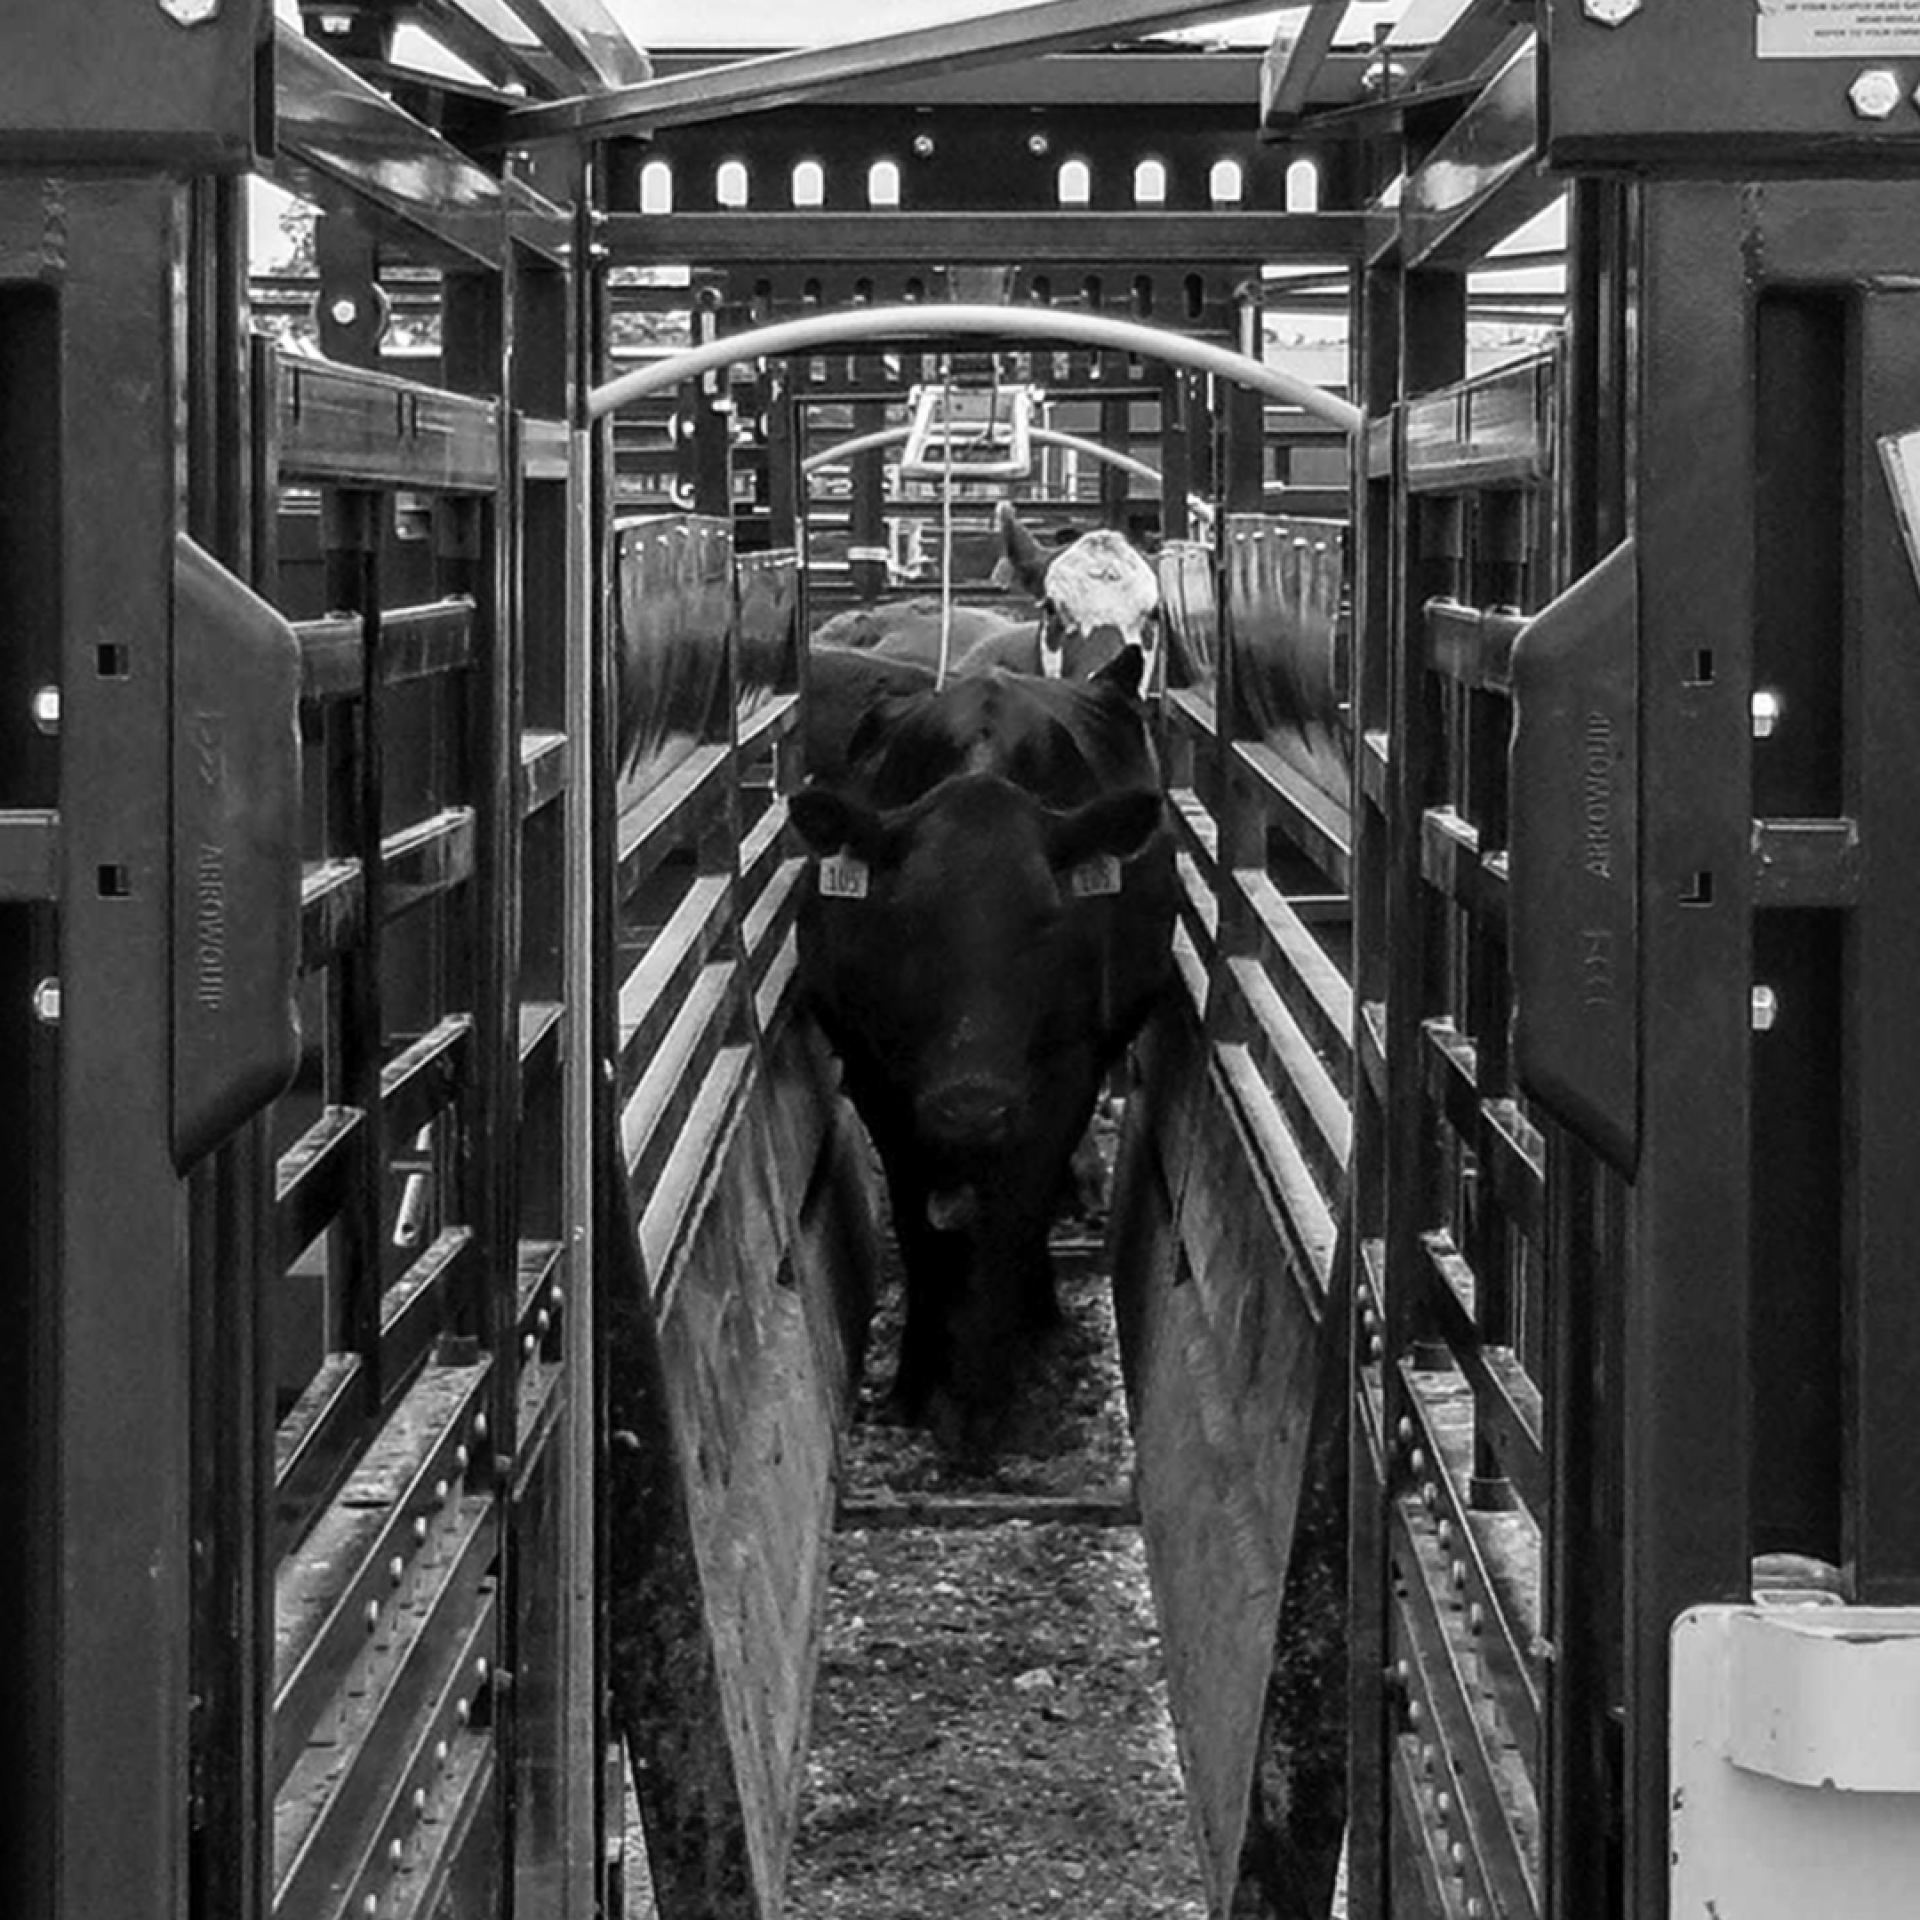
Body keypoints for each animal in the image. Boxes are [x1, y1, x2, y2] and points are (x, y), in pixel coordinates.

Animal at [791, 660, 1175, 1443]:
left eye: (1049, 919)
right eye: (902, 917)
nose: (972, 1107)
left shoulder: (1068, 1070)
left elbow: (1017, 1216)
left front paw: (1001, 1387)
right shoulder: (875, 1075)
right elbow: (917, 1227)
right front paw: (917, 1381)